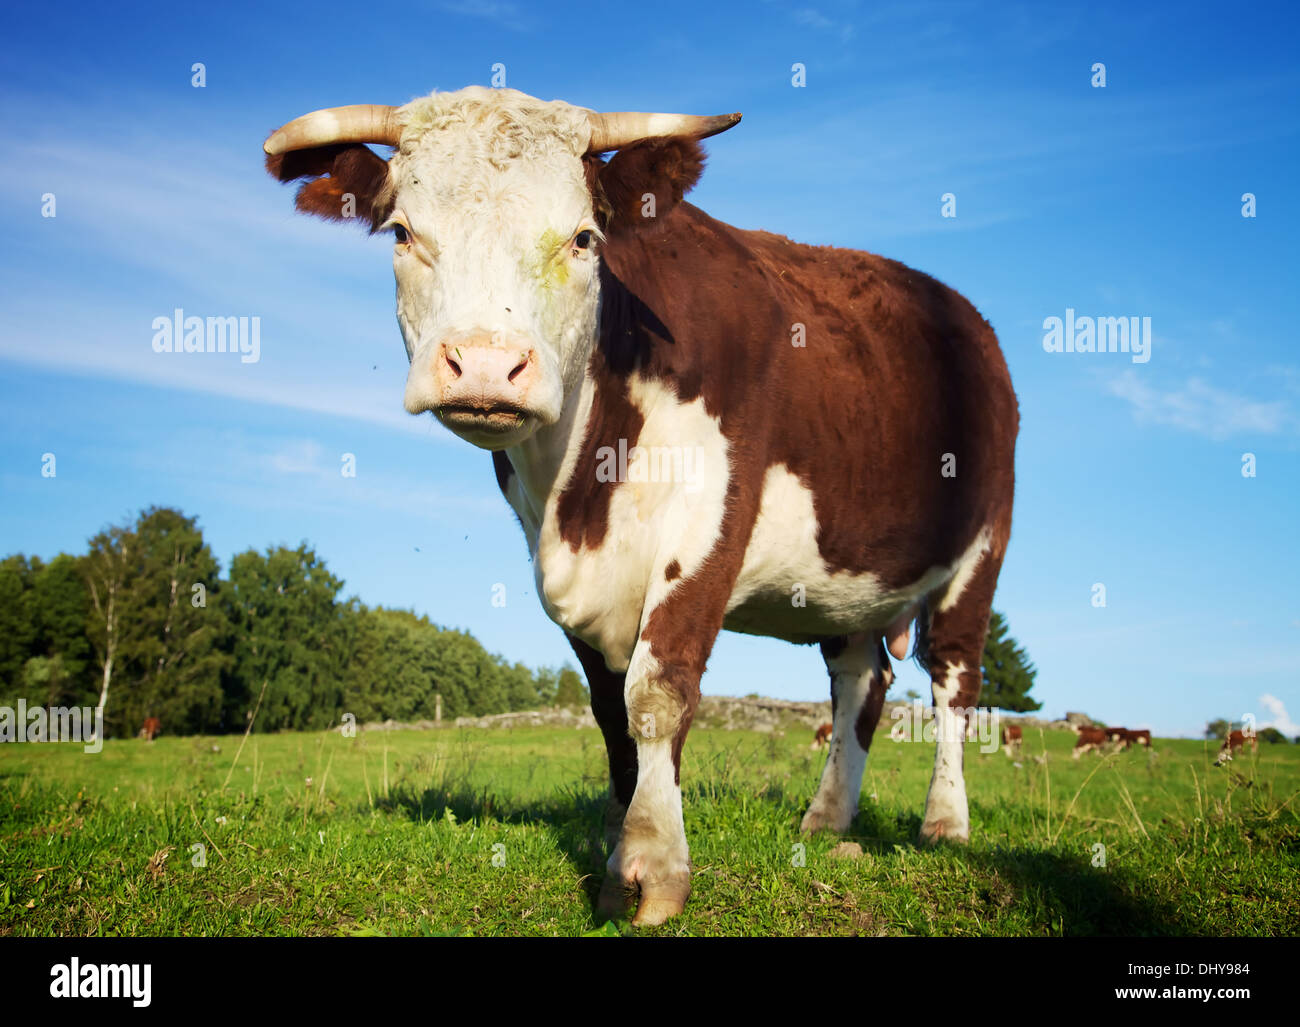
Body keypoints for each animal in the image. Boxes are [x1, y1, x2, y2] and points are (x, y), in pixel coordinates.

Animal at [261, 86, 1013, 925]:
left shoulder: (712, 519)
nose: (485, 364)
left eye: (584, 237)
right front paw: (616, 840)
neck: (584, 490)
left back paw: (945, 822)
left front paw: (652, 865)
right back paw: (826, 818)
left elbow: (658, 690)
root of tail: (965, 317)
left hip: (980, 551)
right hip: (843, 577)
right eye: (402, 232)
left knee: (954, 684)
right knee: (861, 679)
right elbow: (607, 708)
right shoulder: (558, 561)